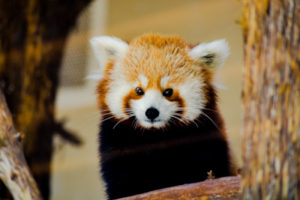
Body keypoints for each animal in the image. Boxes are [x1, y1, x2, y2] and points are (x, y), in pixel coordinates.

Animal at [90, 33, 236, 199]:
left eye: (168, 92)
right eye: (139, 90)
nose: (151, 112)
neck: (156, 134)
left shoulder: (207, 137)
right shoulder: (114, 143)